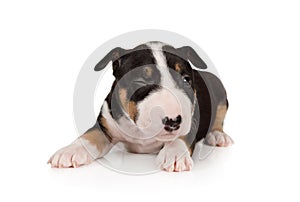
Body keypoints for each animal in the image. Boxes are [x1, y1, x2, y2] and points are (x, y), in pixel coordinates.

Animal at [48, 41, 233, 172]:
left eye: (186, 79)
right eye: (140, 82)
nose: (173, 121)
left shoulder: (192, 120)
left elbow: (182, 136)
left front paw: (173, 154)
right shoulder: (106, 123)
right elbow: (90, 135)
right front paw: (69, 151)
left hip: (220, 90)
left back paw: (218, 135)